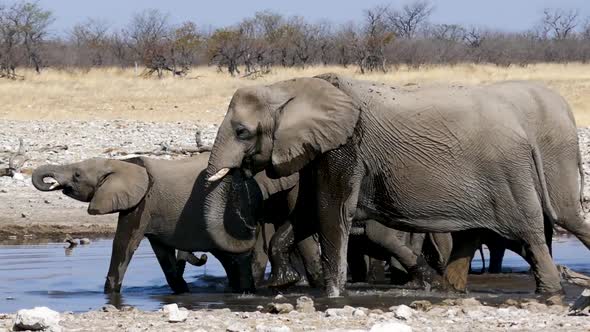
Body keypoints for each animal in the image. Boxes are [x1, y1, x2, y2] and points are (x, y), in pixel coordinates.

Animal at [31, 152, 300, 294]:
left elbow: (124, 244)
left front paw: (110, 294)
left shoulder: (141, 204)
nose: (53, 182)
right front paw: (182, 292)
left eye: (77, 175)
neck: (121, 163)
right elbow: (162, 253)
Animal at [205, 74, 588, 296]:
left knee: (533, 231)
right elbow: (307, 215)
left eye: (242, 132)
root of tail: (523, 134)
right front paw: (284, 283)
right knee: (473, 235)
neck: (291, 86)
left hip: (509, 174)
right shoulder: (320, 149)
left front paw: (332, 296)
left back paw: (550, 292)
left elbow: (332, 213)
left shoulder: (345, 147)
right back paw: (448, 290)